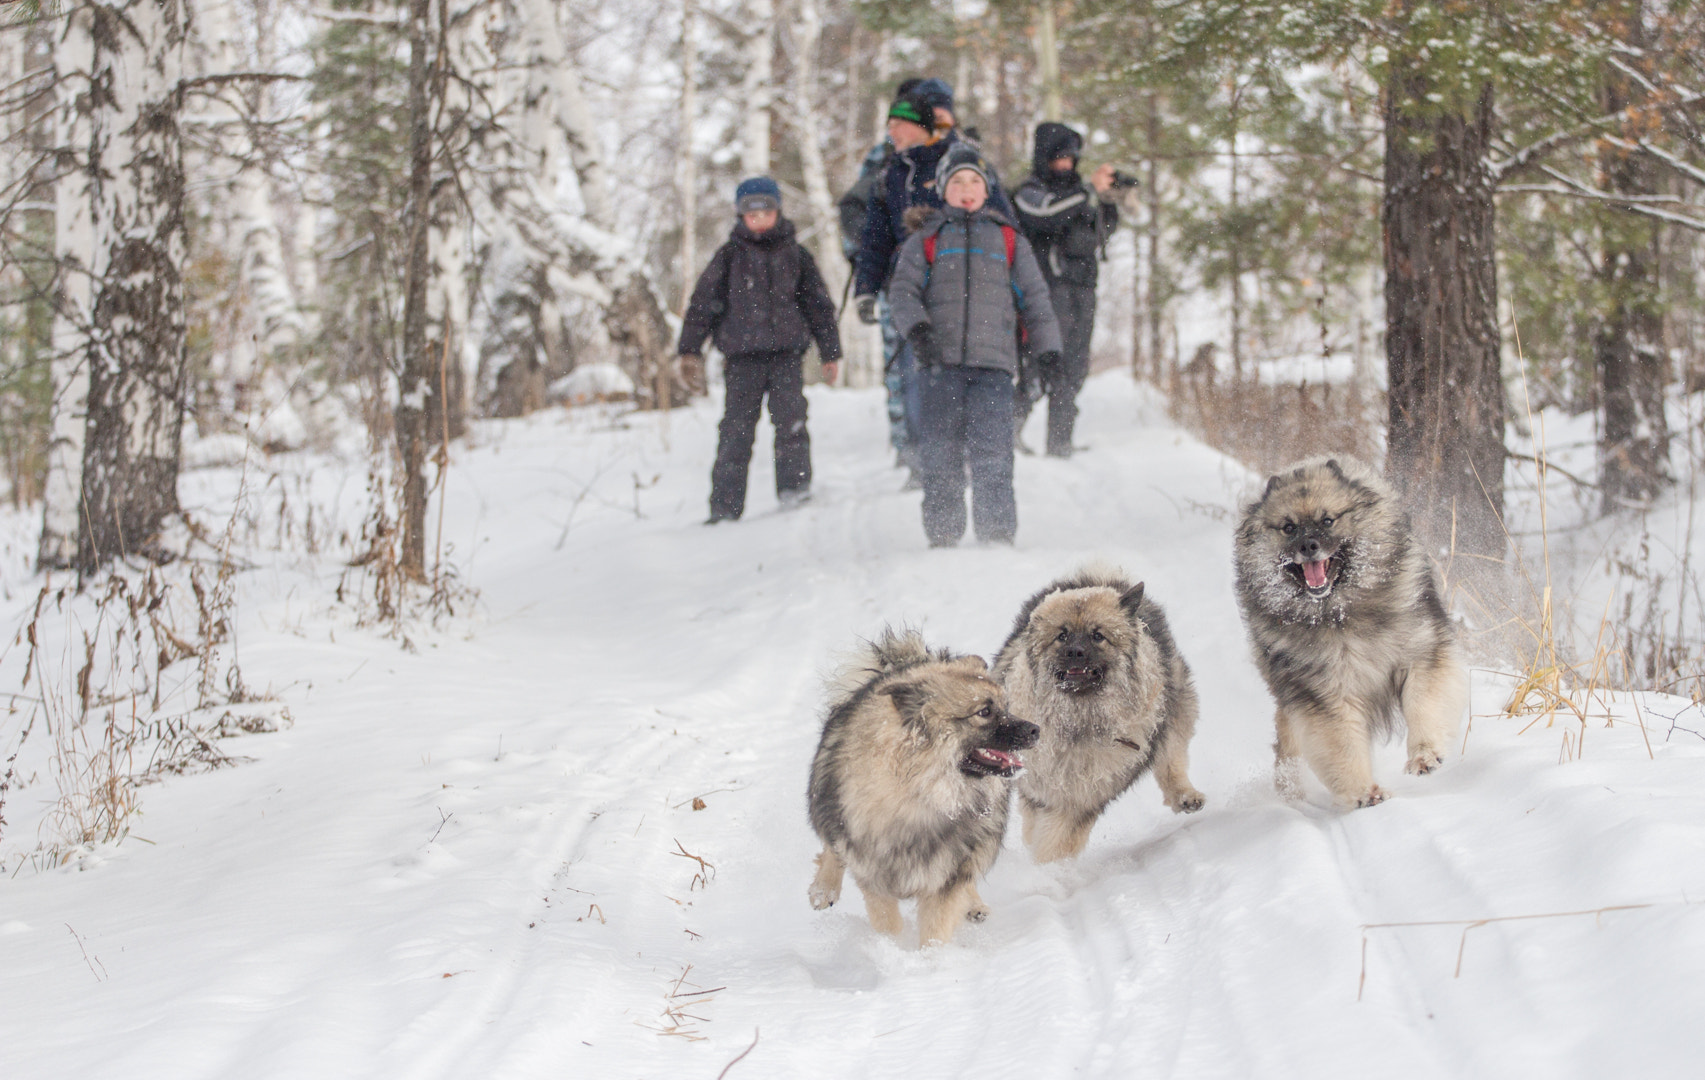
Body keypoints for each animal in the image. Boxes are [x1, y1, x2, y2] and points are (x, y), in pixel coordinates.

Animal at [808, 627, 1036, 941]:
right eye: (984, 712)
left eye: (1006, 706)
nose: (1036, 730)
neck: (922, 795)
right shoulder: (874, 872)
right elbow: (887, 923)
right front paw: (890, 949)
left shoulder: (947, 873)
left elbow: (936, 928)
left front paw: (930, 954)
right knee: (830, 845)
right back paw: (823, 889)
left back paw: (974, 905)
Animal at [995, 563, 1207, 859]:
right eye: (1062, 636)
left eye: (1098, 636)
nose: (1075, 652)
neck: (1077, 719)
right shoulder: (1040, 786)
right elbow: (1036, 827)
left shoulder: (1080, 801)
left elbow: (1056, 842)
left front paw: (1049, 868)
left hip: (1173, 710)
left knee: (1171, 759)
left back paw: (1185, 796)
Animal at [1241, 453, 1466, 808]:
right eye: (1289, 527)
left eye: (1327, 521)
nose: (1308, 545)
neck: (1341, 614)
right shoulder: (1326, 695)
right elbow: (1343, 746)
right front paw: (1365, 792)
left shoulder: (1422, 656)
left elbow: (1425, 706)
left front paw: (1424, 756)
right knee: (1288, 750)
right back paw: (1292, 796)